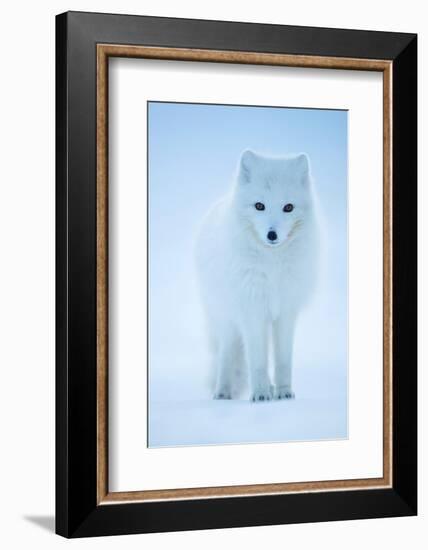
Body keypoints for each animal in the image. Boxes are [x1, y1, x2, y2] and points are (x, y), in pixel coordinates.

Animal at [194, 153, 318, 404]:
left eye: (288, 207)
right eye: (259, 206)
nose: (272, 234)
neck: (272, 266)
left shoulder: (286, 312)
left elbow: (282, 360)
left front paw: (283, 393)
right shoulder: (252, 312)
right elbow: (257, 361)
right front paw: (260, 394)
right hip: (227, 319)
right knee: (226, 354)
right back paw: (223, 392)